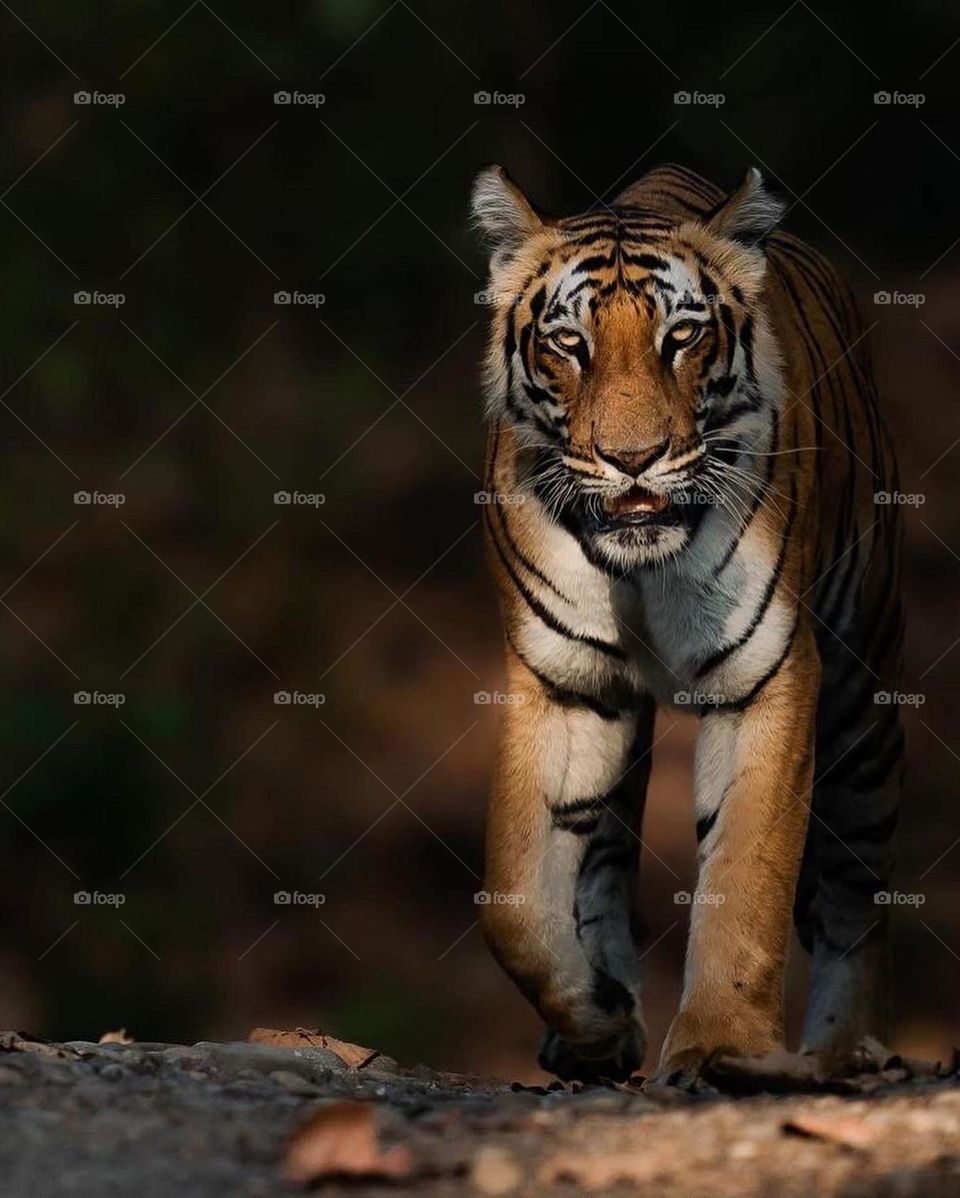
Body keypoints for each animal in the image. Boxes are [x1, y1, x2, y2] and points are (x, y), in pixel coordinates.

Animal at [470, 160, 903, 1083]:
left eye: (682, 336)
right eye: (570, 343)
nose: (633, 459)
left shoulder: (766, 675)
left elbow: (746, 873)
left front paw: (720, 1046)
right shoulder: (562, 682)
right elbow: (515, 904)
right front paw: (598, 1018)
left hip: (863, 707)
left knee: (858, 903)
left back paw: (839, 1052)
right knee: (600, 863)